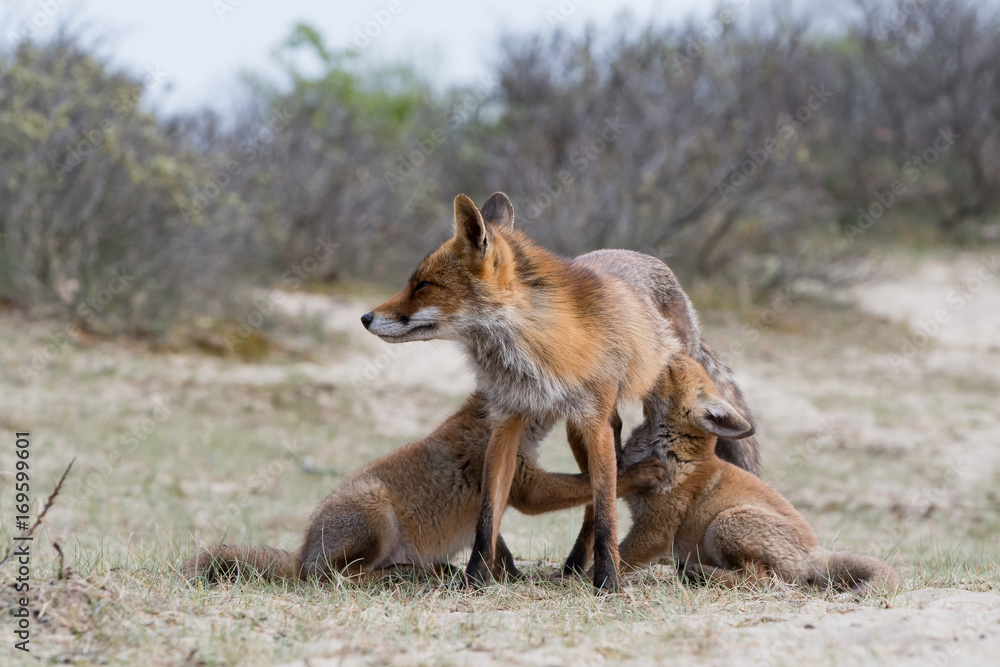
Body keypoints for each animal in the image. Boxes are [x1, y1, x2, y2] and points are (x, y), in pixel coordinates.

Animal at [181, 392, 667, 584]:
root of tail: (302, 553)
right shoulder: (525, 487)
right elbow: (598, 482)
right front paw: (645, 471)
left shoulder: (498, 501)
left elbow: (494, 543)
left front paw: (504, 575)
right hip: (376, 514)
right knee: (340, 577)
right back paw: (409, 574)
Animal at [361, 191, 759, 592]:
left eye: (423, 285)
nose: (365, 318)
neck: (533, 352)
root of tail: (646, 258)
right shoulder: (506, 422)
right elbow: (488, 515)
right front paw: (475, 579)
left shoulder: (595, 422)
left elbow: (606, 511)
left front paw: (608, 582)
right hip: (575, 429)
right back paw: (573, 566)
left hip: (631, 406)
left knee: (606, 491)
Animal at [616, 353, 900, 594]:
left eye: (670, 369)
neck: (674, 451)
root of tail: (816, 555)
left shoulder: (656, 529)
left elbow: (617, 556)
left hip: (726, 522)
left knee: (759, 580)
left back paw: (699, 573)